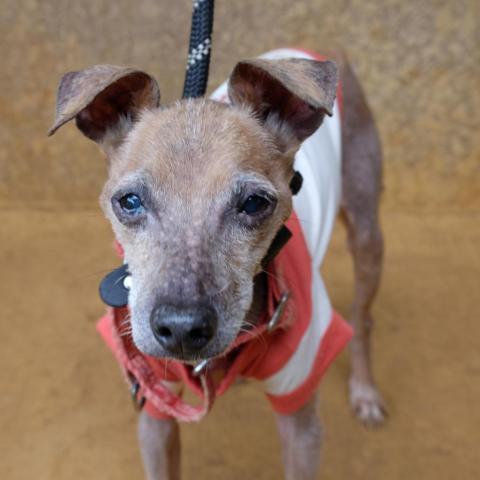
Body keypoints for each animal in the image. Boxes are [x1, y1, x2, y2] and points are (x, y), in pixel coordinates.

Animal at [48, 46, 384, 480]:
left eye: (255, 203)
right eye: (129, 201)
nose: (180, 328)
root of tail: (321, 48)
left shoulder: (301, 416)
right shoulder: (155, 409)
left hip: (367, 233)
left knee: (362, 317)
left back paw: (365, 390)